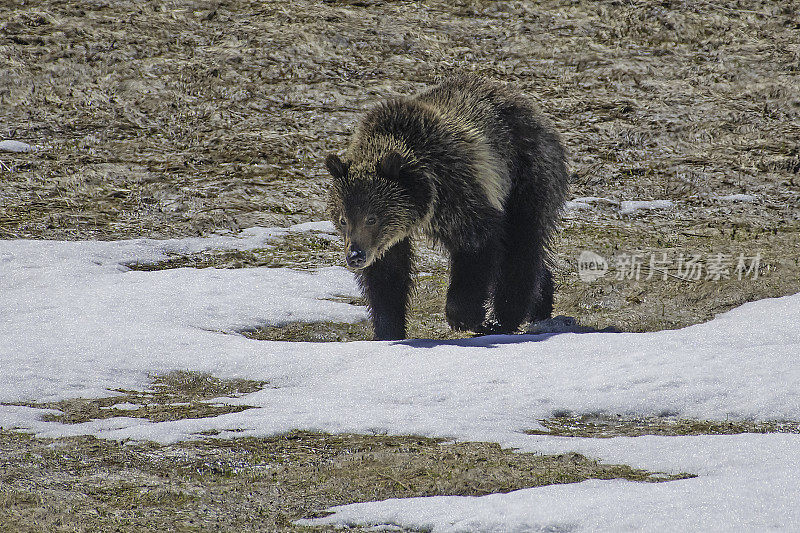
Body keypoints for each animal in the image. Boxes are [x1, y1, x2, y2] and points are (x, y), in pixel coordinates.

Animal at [322, 74, 564, 338]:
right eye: (343, 219)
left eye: (371, 218)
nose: (355, 256)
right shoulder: (388, 240)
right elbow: (387, 277)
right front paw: (388, 331)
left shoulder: (458, 192)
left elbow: (478, 245)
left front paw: (465, 317)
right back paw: (540, 303)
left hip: (524, 175)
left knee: (521, 245)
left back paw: (502, 319)